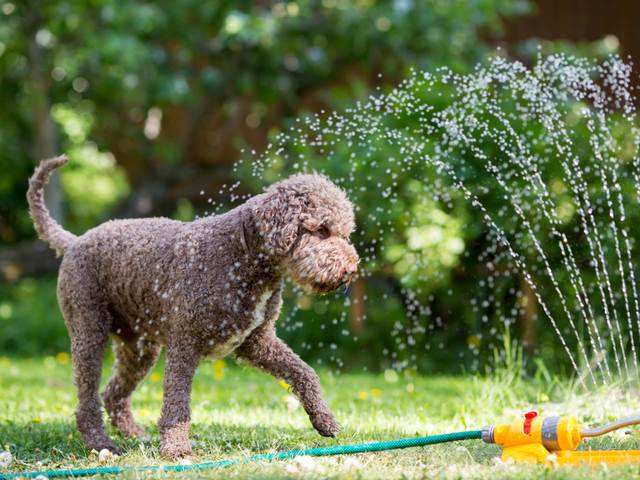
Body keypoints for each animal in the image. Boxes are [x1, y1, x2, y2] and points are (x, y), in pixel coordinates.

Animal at [27, 156, 358, 460]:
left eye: (345, 233)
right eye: (322, 230)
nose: (352, 269)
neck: (240, 256)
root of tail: (74, 241)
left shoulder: (256, 342)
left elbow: (305, 372)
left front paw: (324, 420)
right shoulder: (185, 345)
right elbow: (177, 405)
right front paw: (176, 449)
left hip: (140, 349)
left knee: (113, 394)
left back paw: (135, 434)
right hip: (89, 333)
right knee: (87, 400)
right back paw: (101, 443)